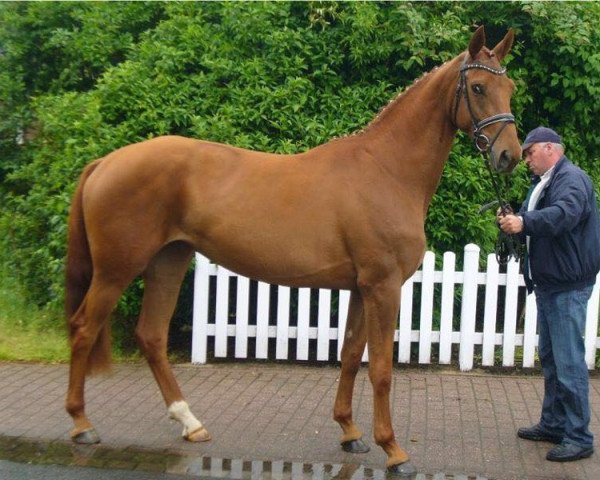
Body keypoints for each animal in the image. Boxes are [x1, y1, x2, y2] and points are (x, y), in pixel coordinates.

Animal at [63, 26, 516, 472]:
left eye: (509, 87)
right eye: (478, 87)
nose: (509, 155)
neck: (386, 170)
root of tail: (105, 162)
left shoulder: (360, 288)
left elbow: (351, 355)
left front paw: (350, 433)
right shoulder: (383, 287)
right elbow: (381, 370)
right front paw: (393, 450)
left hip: (168, 261)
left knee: (152, 336)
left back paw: (190, 423)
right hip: (117, 269)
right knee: (84, 328)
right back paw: (82, 424)